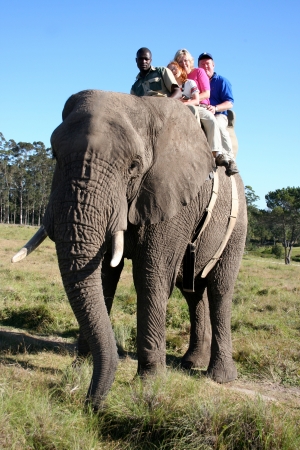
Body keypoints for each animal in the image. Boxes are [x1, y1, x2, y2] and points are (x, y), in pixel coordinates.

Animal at [11, 90, 247, 412]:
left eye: (134, 166)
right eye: (54, 156)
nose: (90, 403)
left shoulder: (170, 195)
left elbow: (151, 277)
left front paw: (149, 384)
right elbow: (103, 276)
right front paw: (79, 368)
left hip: (237, 226)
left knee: (220, 289)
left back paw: (219, 377)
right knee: (193, 292)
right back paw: (190, 363)